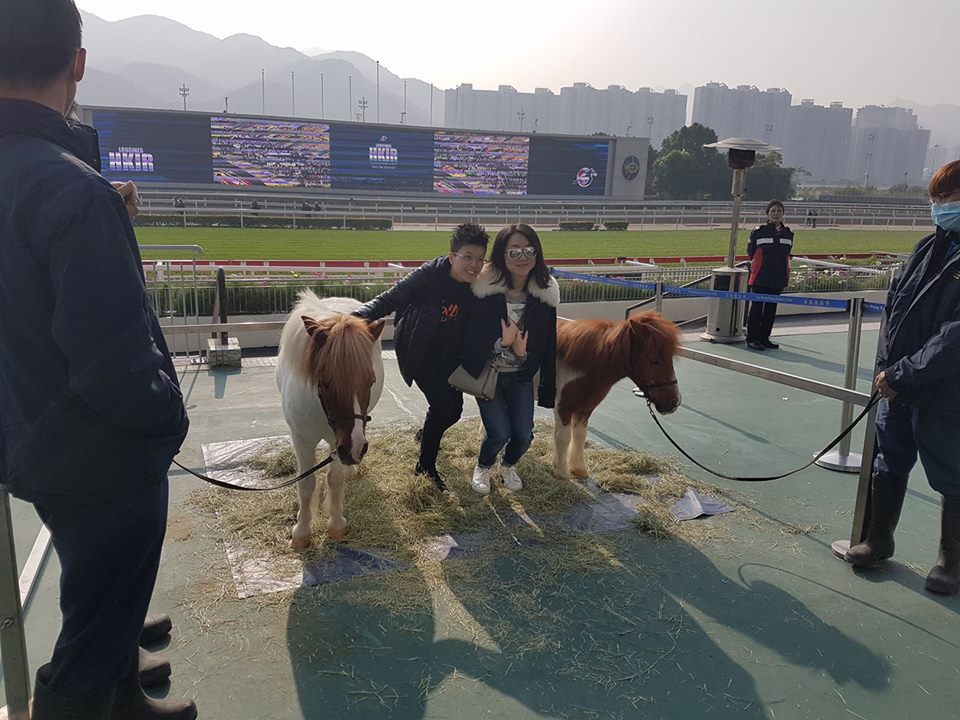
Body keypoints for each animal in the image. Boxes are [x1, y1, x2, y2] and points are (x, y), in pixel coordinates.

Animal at [276, 290, 384, 548]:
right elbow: (306, 483)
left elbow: (334, 479)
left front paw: (335, 524)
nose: (356, 449)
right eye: (325, 382)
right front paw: (302, 531)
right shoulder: (302, 439)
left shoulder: (340, 441)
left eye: (371, 381)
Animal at [552, 312, 680, 480]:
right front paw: (561, 473)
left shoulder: (585, 408)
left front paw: (578, 470)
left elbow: (580, 436)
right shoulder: (563, 407)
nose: (674, 402)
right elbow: (563, 438)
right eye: (654, 361)